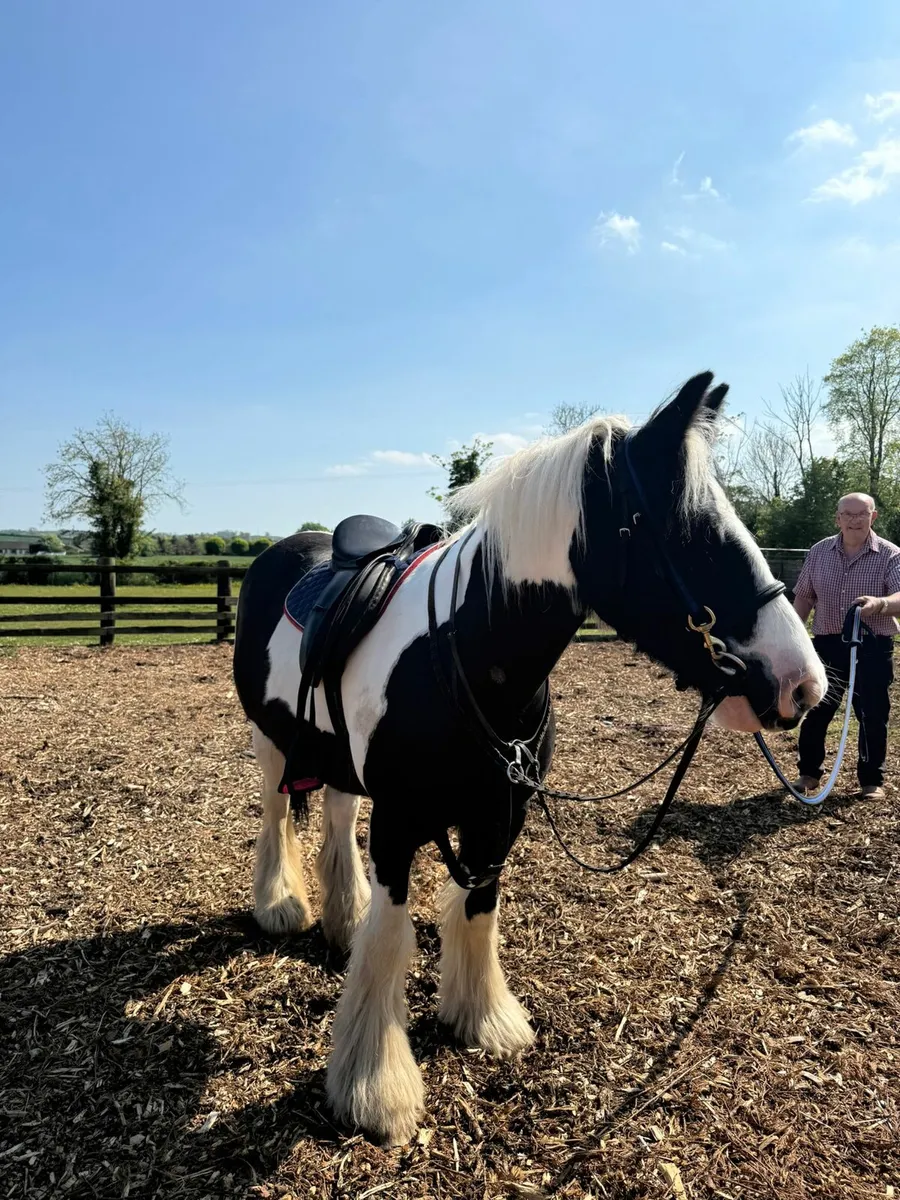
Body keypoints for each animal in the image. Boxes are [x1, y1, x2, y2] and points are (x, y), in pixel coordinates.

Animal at [232, 371, 827, 1146]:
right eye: (691, 533)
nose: (803, 684)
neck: (468, 657)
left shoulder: (498, 818)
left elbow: (478, 909)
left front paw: (482, 1020)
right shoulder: (400, 823)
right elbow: (390, 939)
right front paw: (375, 1089)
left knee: (334, 814)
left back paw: (341, 914)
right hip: (273, 743)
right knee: (277, 815)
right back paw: (281, 905)